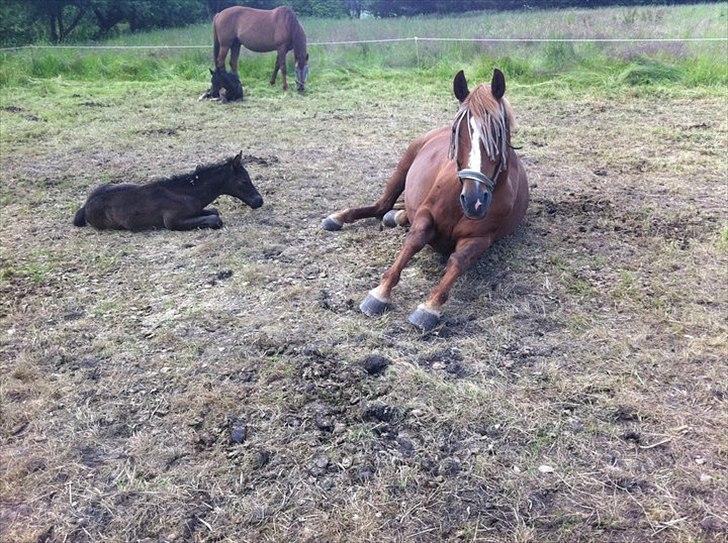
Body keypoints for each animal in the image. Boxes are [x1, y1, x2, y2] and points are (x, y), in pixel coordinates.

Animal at [71, 151, 264, 232]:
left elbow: (214, 211)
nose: (259, 201)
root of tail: (85, 205)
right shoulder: (171, 221)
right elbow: (215, 219)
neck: (187, 193)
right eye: (243, 181)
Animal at [322, 68, 528, 332]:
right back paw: (339, 217)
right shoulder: (425, 214)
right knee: (381, 205)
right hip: (404, 165)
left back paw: (396, 216)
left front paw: (430, 306)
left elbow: (458, 261)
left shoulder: (481, 238)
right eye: (457, 131)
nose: (474, 200)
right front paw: (380, 293)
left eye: (498, 133)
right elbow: (414, 241)